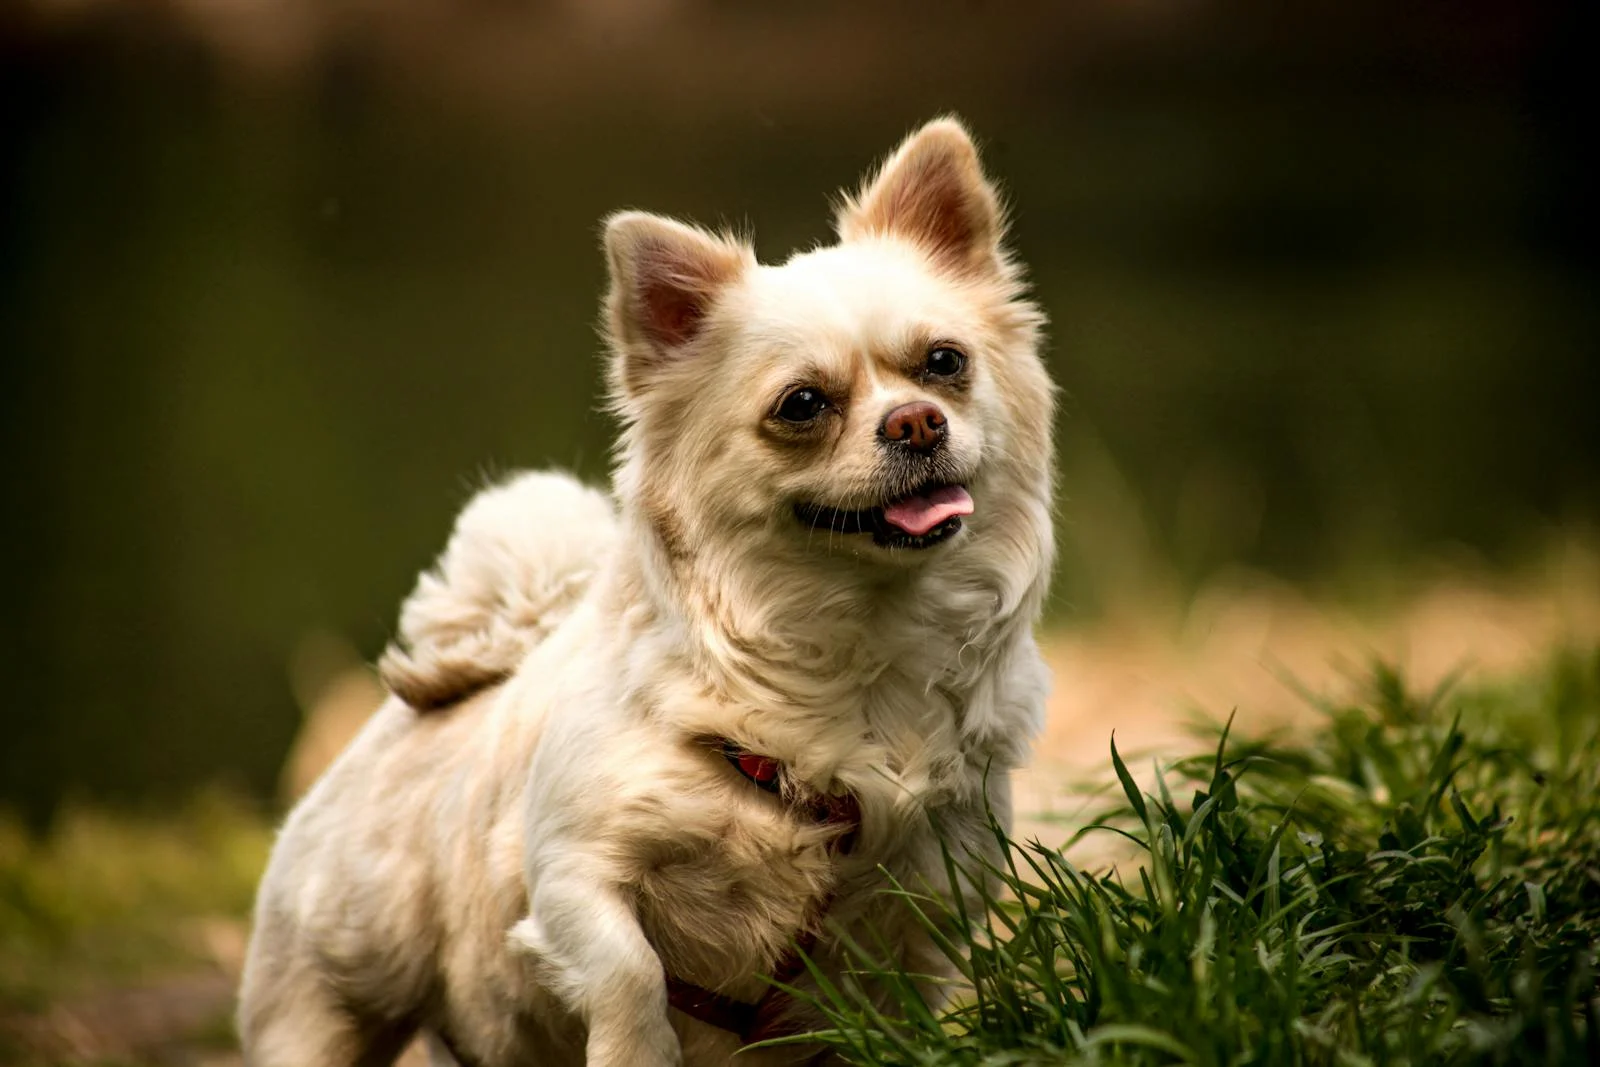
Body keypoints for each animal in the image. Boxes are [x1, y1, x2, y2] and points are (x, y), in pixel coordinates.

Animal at [240, 116, 1049, 1067]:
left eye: (945, 362)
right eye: (803, 404)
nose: (917, 420)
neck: (858, 648)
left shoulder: (927, 911)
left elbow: (899, 1014)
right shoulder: (572, 872)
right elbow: (632, 972)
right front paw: (640, 1047)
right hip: (320, 1003)